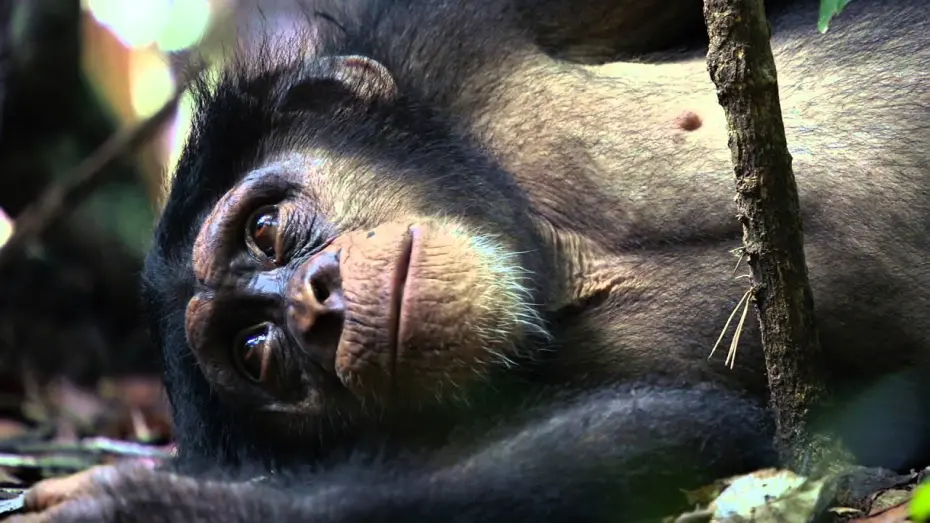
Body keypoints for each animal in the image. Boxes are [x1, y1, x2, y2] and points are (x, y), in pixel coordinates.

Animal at [9, 0, 928, 520]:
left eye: (267, 230)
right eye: (257, 350)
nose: (313, 301)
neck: (560, 259)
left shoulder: (444, 36)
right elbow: (655, 434)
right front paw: (165, 505)